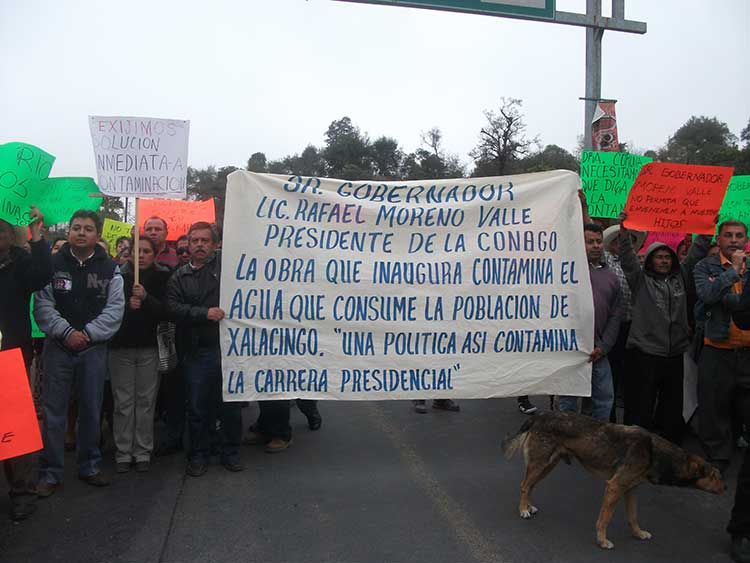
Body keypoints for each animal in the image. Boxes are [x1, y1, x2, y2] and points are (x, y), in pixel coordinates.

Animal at [502, 412, 724, 548]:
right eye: (715, 476)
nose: (727, 487)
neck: (653, 452)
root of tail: (538, 416)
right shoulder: (614, 487)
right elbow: (605, 518)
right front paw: (602, 541)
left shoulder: (630, 490)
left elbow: (633, 516)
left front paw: (638, 534)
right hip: (541, 463)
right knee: (524, 485)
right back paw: (523, 510)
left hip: (548, 465)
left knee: (530, 485)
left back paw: (528, 506)